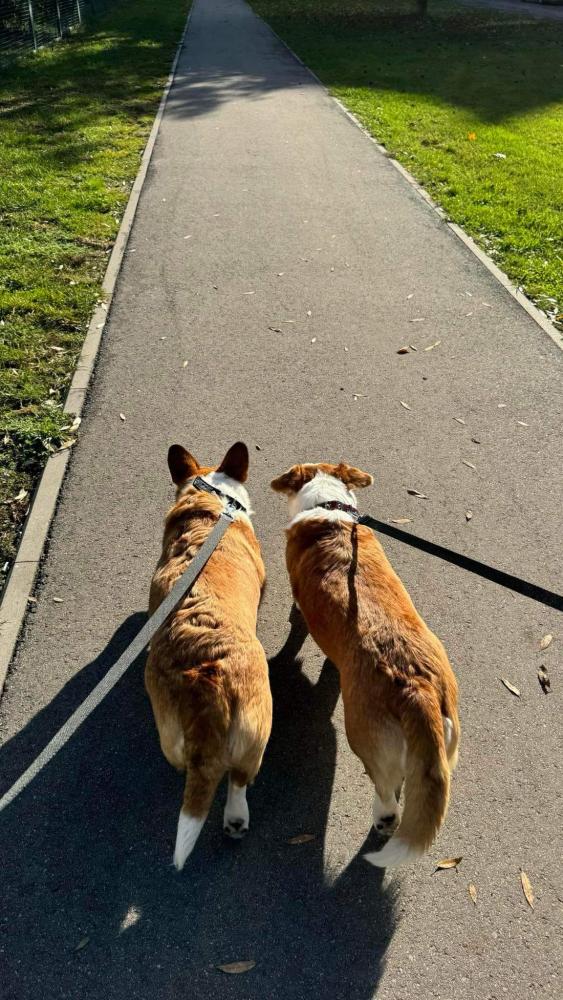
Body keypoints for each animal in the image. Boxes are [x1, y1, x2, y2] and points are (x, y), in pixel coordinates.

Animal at [146, 442, 272, 870]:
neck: (211, 499)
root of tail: (206, 676)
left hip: (169, 731)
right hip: (257, 729)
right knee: (239, 780)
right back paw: (236, 819)